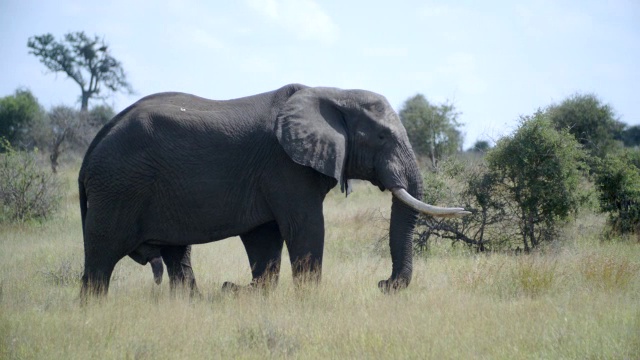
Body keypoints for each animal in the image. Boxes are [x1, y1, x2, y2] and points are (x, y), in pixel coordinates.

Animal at [79, 83, 470, 298]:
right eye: (382, 136)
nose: (383, 284)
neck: (332, 93)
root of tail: (93, 145)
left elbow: (264, 238)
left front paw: (242, 292)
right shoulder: (285, 166)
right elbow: (306, 227)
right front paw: (309, 301)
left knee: (177, 256)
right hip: (118, 187)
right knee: (102, 256)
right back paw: (92, 308)